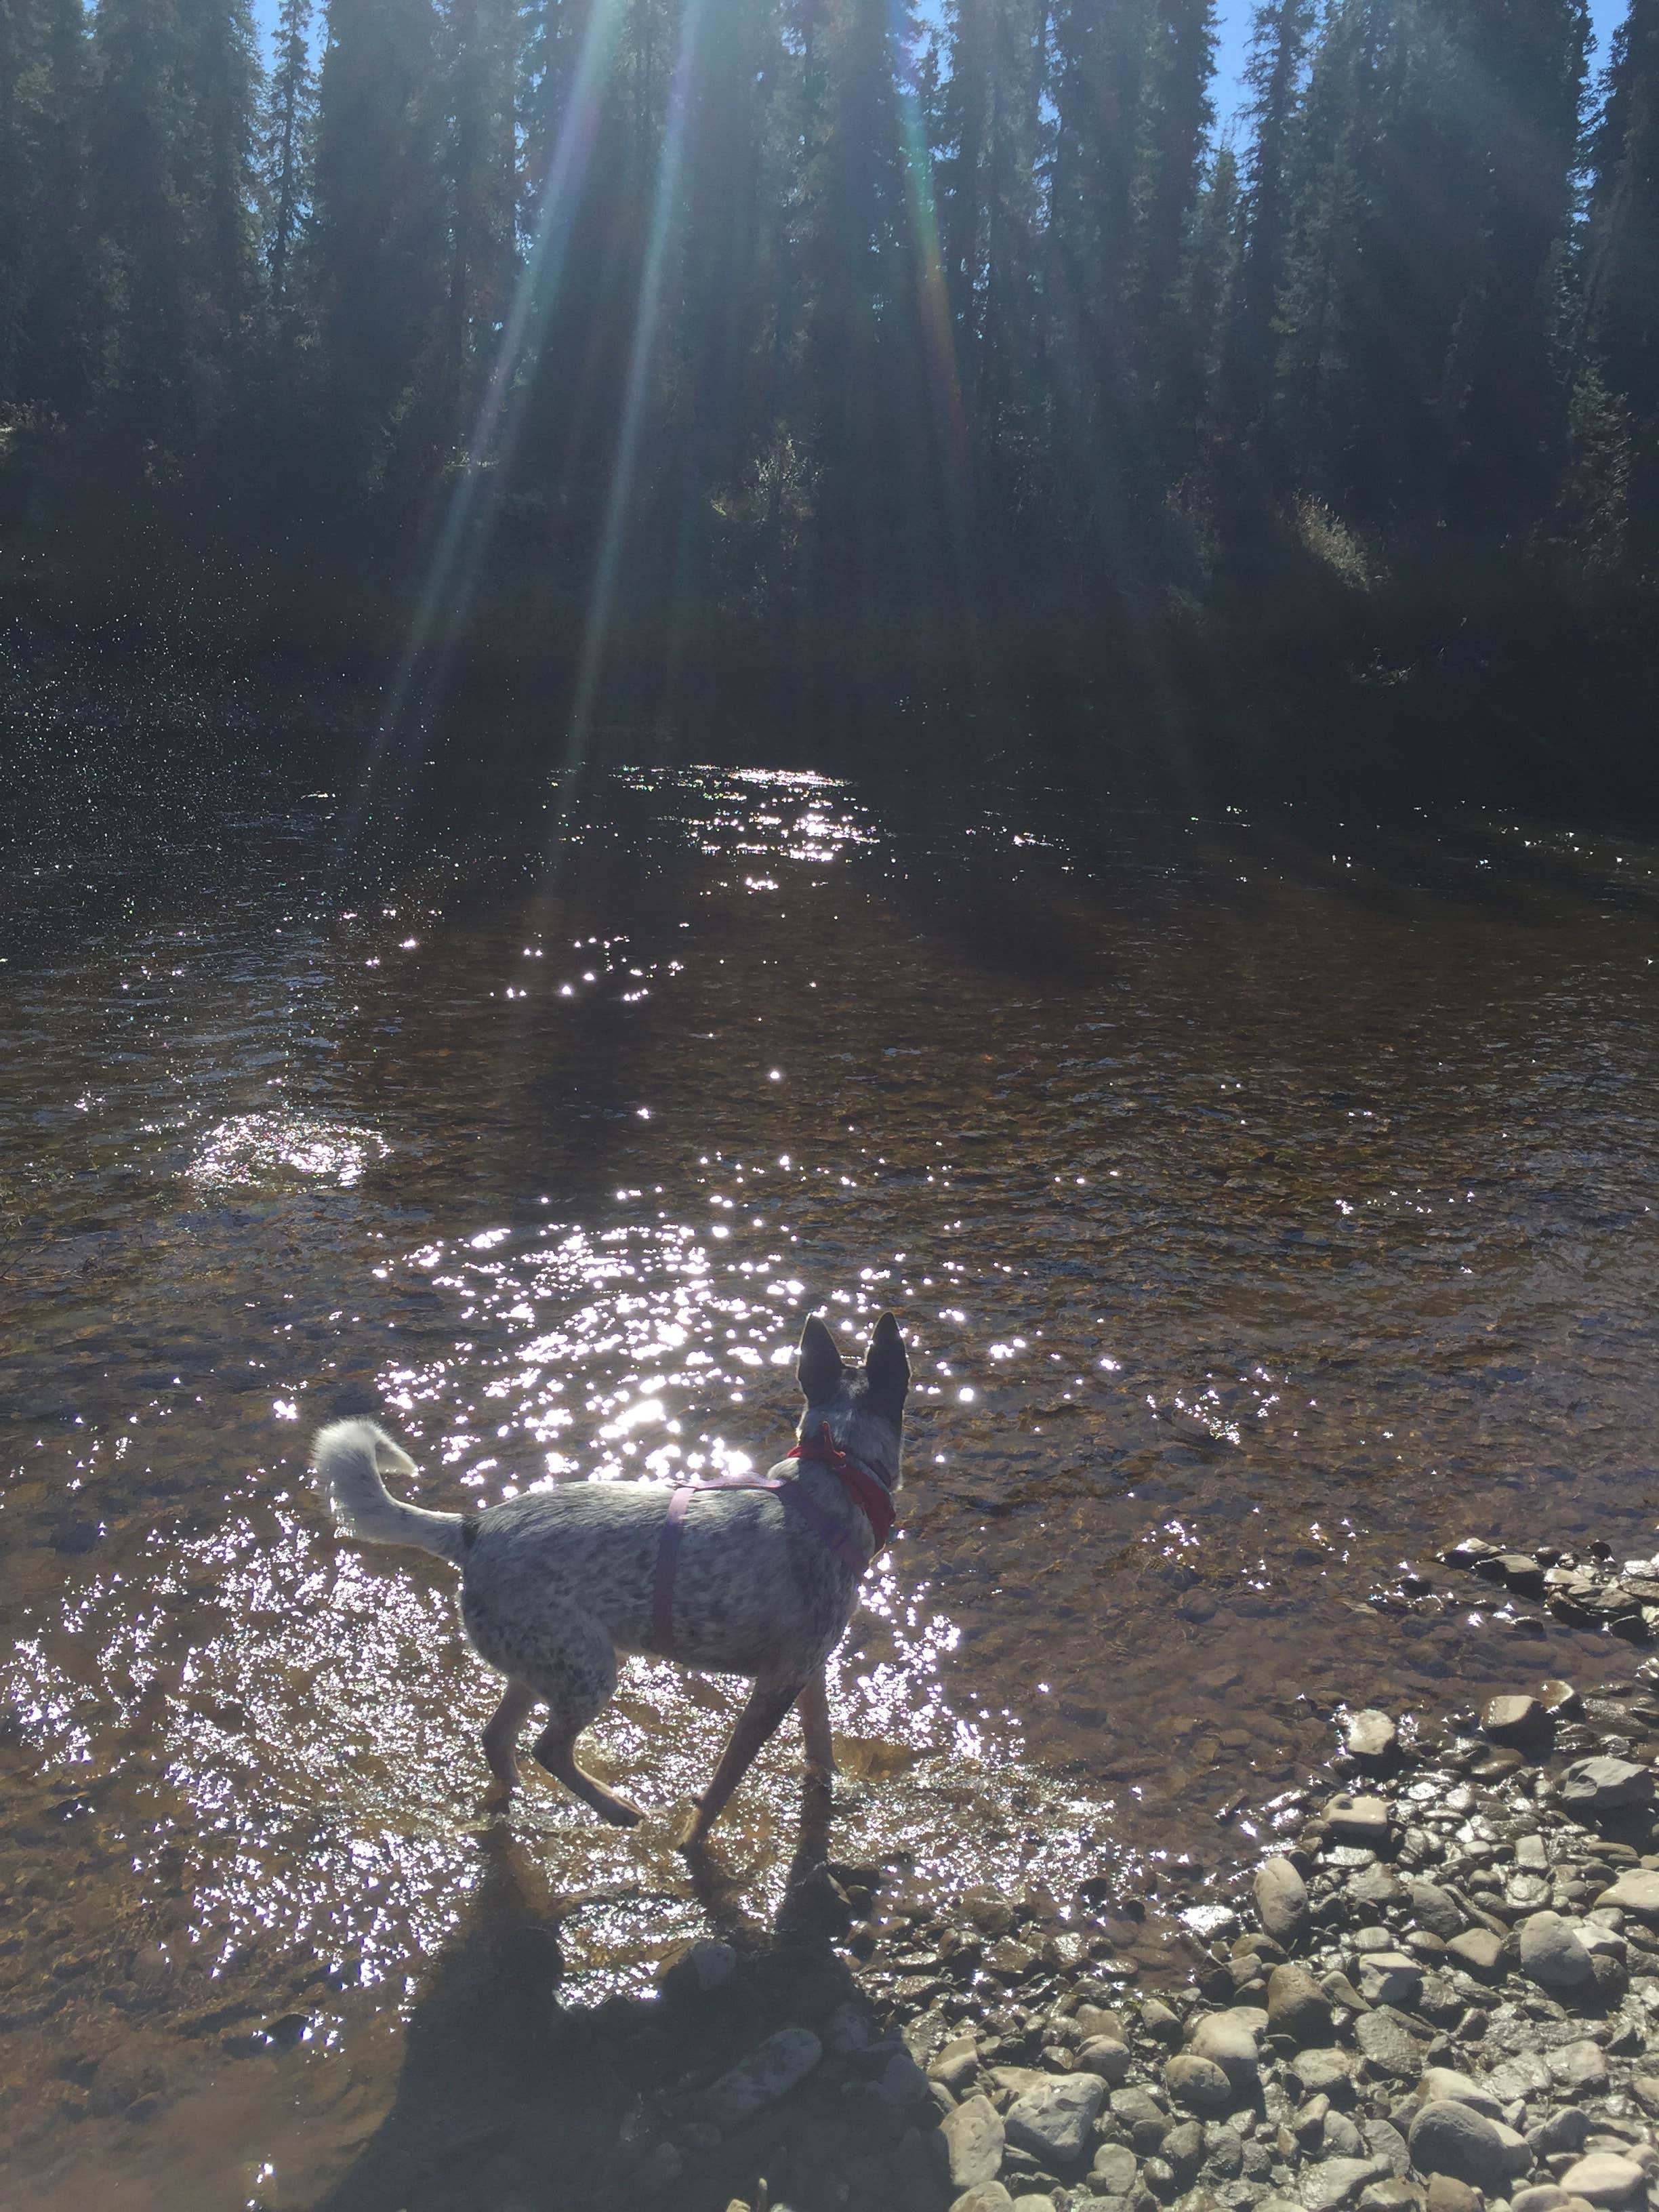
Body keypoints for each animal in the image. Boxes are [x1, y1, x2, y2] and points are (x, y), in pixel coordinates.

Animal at [312, 1300, 911, 1840]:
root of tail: (472, 1529)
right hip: (590, 1670)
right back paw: (615, 1808)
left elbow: (821, 1744)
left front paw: (830, 1789)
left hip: (544, 1664)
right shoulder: (776, 1684)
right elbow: (721, 1788)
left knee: (497, 1739)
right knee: (547, 1748)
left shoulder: (806, 1672)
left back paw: (514, 1801)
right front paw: (692, 1842)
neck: (838, 1471)